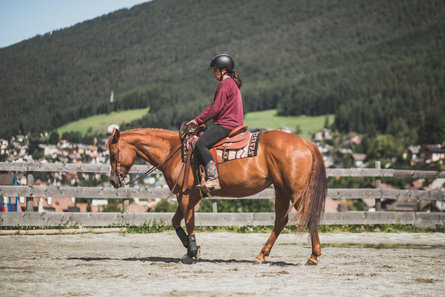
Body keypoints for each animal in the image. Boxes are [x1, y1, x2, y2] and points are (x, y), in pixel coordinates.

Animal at [105, 126, 324, 264]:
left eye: (113, 153)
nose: (114, 181)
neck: (174, 151)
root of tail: (305, 142)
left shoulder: (186, 195)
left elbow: (188, 222)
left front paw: (191, 252)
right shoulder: (189, 195)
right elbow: (176, 222)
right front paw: (191, 248)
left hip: (296, 192)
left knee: (307, 216)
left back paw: (313, 256)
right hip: (282, 190)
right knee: (281, 220)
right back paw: (262, 255)